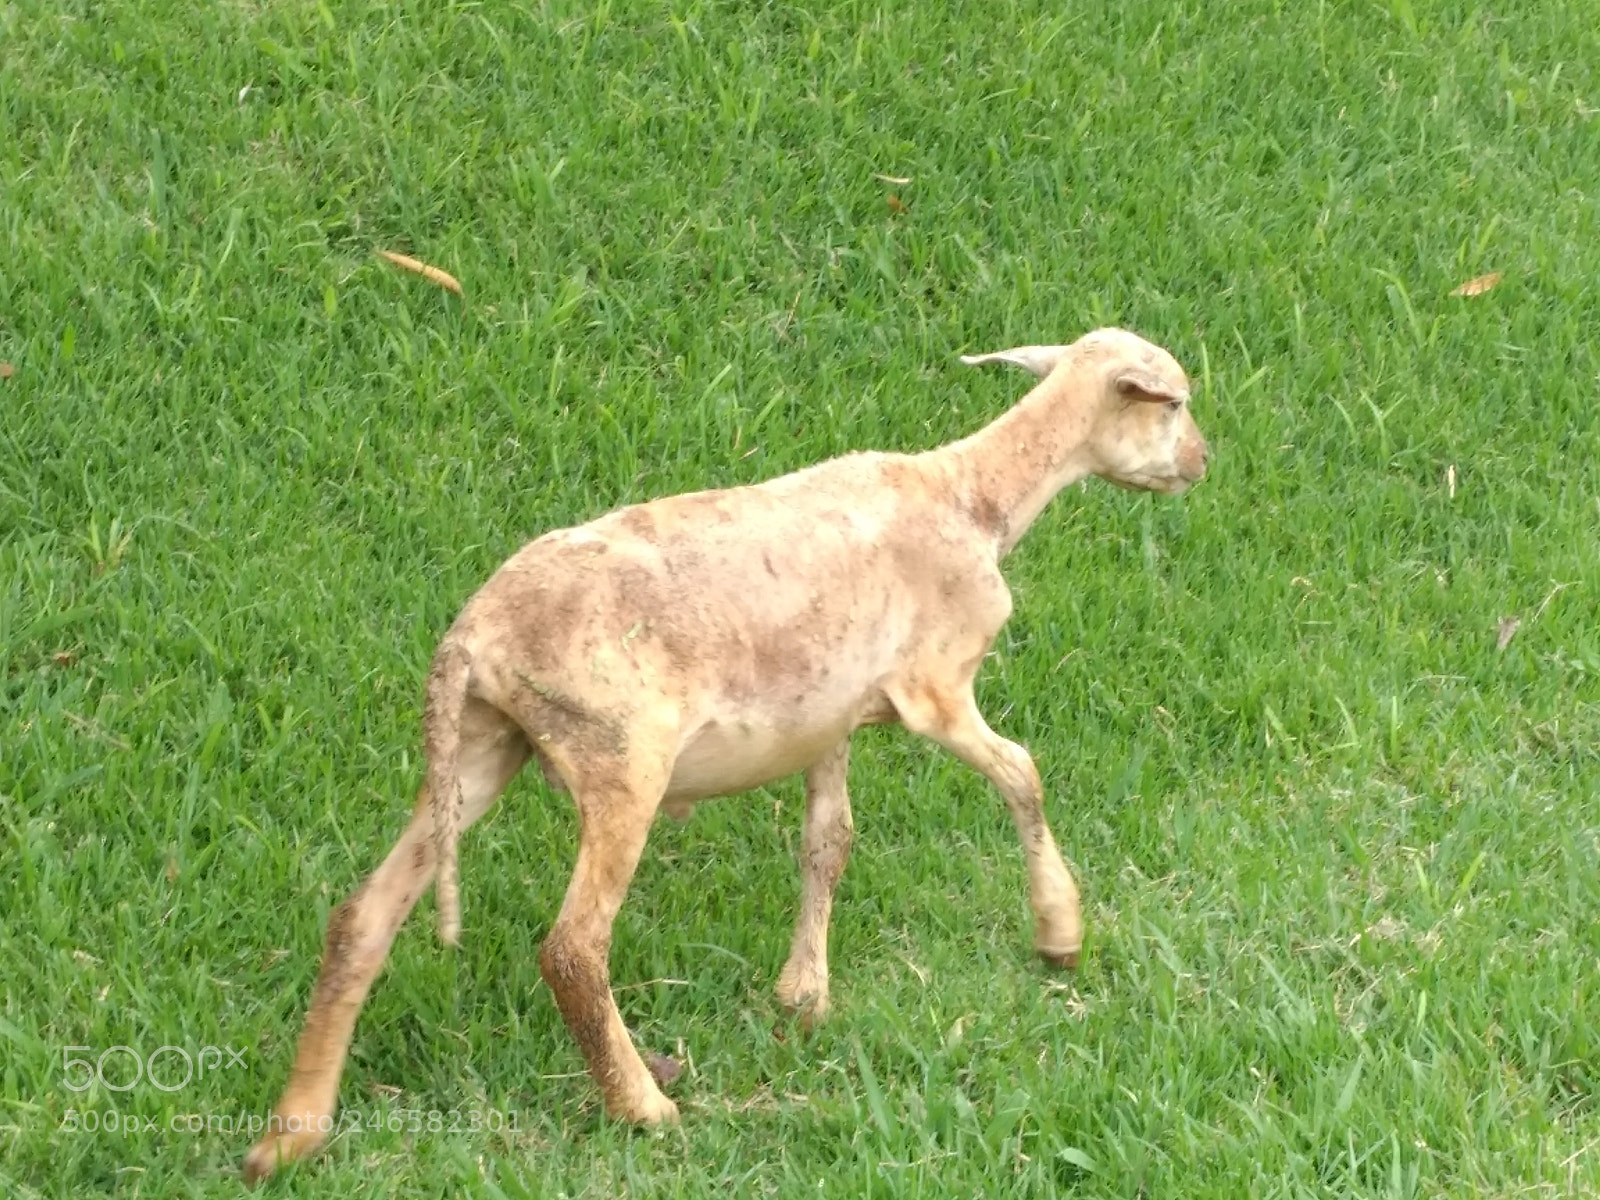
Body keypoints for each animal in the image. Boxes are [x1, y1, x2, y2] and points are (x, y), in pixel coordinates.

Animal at [242, 326, 1208, 1181]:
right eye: (1174, 403)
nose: (1201, 463)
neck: (971, 495)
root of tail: (468, 640)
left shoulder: (829, 719)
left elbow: (829, 842)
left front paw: (803, 997)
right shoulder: (937, 689)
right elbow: (1023, 774)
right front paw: (1060, 935)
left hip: (482, 749)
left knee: (363, 916)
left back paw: (291, 1137)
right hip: (621, 756)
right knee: (573, 948)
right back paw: (645, 1108)